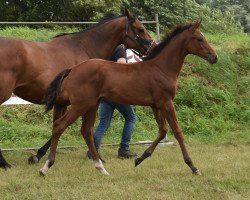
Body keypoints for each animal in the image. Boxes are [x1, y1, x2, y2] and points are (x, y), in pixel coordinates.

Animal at [0, 8, 154, 170]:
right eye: (141, 29)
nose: (153, 47)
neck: (84, 49)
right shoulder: (82, 102)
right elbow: (83, 129)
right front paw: (98, 158)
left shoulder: (61, 103)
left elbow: (57, 127)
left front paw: (37, 156)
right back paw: (4, 163)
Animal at [40, 21, 217, 176]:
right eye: (199, 39)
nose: (214, 57)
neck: (161, 68)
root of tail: (73, 69)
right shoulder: (166, 103)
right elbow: (178, 131)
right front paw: (193, 167)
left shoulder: (156, 105)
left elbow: (163, 131)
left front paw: (140, 159)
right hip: (80, 105)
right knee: (59, 126)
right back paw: (46, 166)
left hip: (92, 105)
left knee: (86, 131)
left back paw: (101, 168)